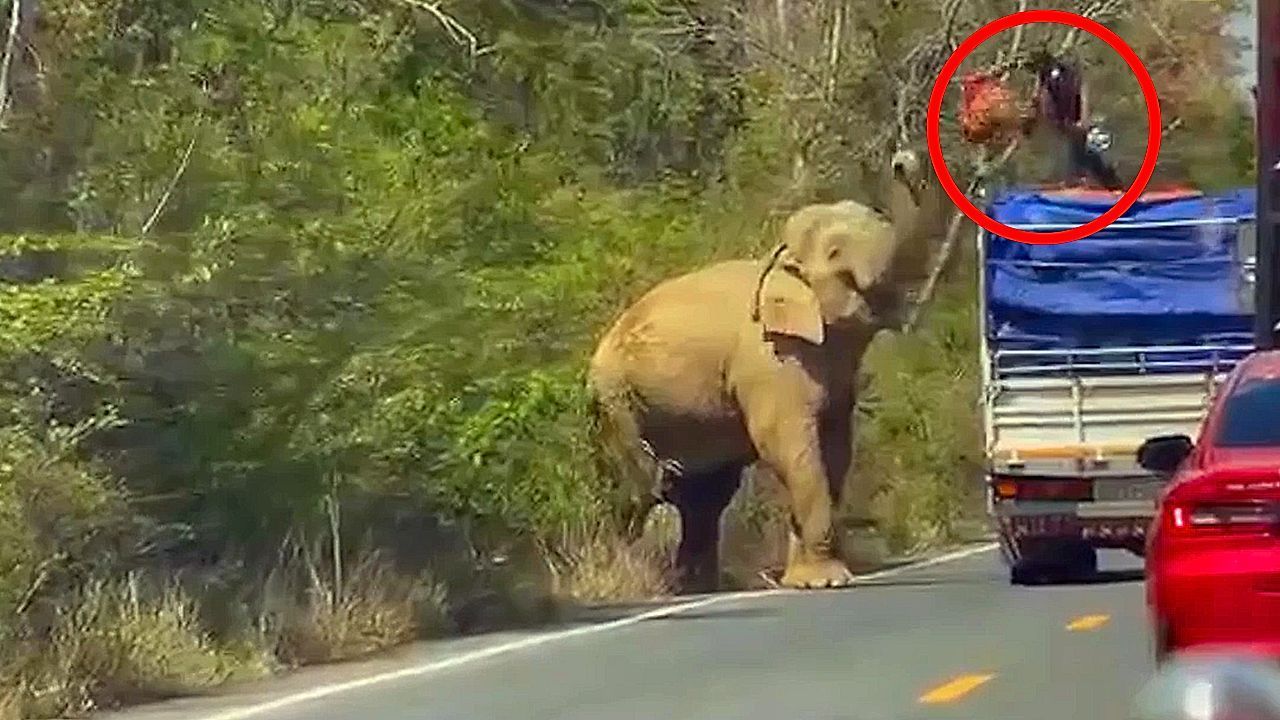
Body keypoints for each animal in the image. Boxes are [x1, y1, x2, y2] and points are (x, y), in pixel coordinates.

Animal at [586, 148, 947, 593]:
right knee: (641, 488)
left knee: (703, 496)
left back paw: (697, 586)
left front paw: (805, 581)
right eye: (835, 254)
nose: (903, 159)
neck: (779, 259)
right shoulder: (768, 359)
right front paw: (826, 582)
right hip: (615, 402)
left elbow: (834, 448)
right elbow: (787, 442)